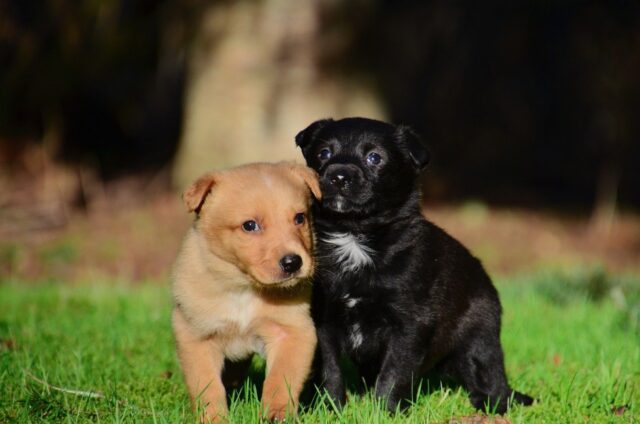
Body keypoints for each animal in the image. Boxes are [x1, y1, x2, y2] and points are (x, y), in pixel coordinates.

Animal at [171, 161, 320, 420]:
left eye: (299, 218)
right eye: (250, 225)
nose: (293, 262)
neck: (244, 289)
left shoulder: (292, 331)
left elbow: (281, 379)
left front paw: (276, 415)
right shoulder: (194, 333)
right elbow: (207, 385)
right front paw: (213, 418)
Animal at [296, 117, 536, 414]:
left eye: (374, 158)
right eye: (324, 153)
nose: (339, 176)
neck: (354, 236)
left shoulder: (410, 324)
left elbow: (394, 372)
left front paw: (384, 412)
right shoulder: (323, 318)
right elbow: (329, 369)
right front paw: (329, 408)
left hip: (479, 336)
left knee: (490, 374)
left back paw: (492, 405)